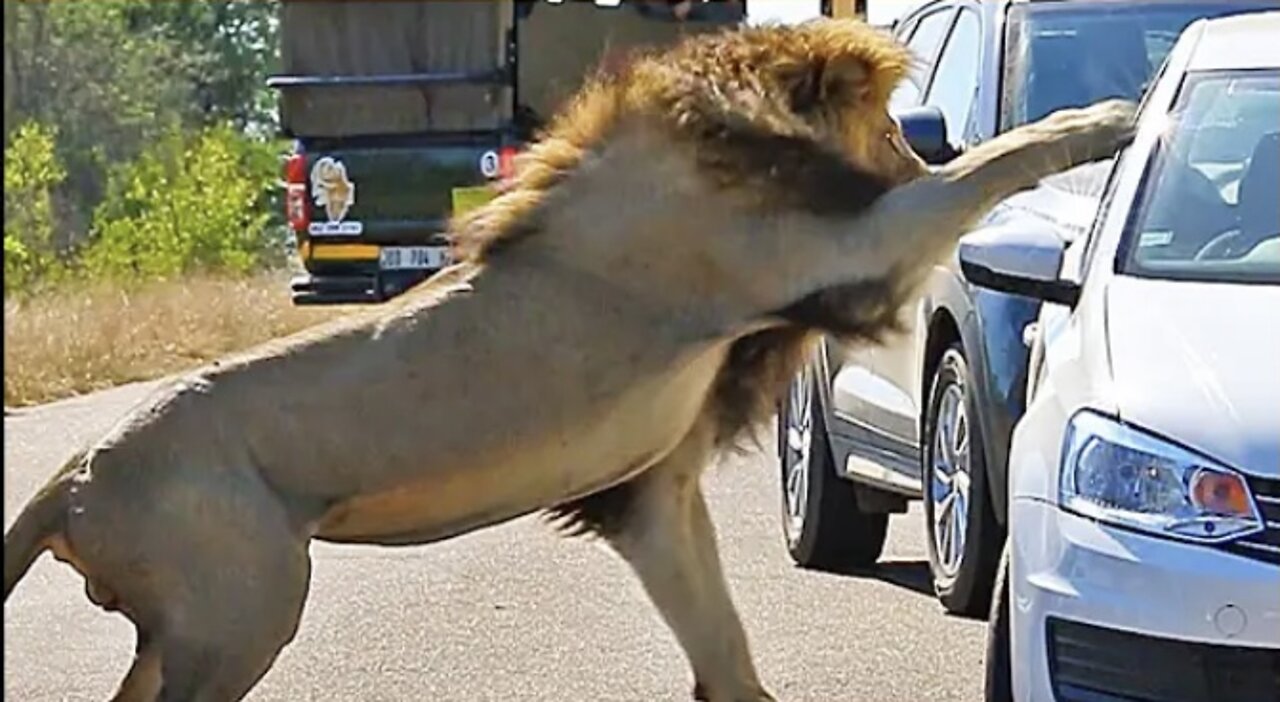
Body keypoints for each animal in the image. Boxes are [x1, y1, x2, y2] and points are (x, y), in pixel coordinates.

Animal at [2, 17, 1131, 702]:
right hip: (242, 607)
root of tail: (71, 478)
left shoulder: (650, 494)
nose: (922, 144)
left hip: (192, 627)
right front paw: (1102, 120)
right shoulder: (844, 250)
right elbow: (989, 170)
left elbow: (724, 649)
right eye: (893, 128)